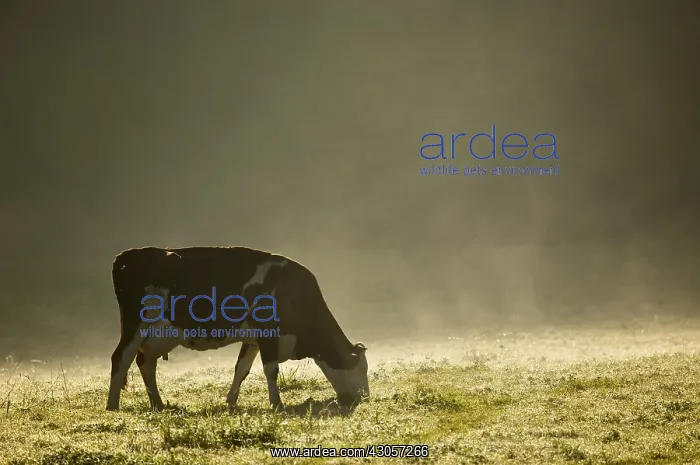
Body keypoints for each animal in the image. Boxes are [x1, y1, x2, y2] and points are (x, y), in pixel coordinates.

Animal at [106, 246, 369, 412]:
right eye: (360, 367)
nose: (364, 398)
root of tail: (126, 255)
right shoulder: (269, 335)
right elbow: (271, 370)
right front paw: (276, 403)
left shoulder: (253, 340)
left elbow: (241, 369)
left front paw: (231, 401)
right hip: (135, 324)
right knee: (121, 358)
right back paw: (112, 405)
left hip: (158, 334)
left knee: (145, 362)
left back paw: (158, 404)